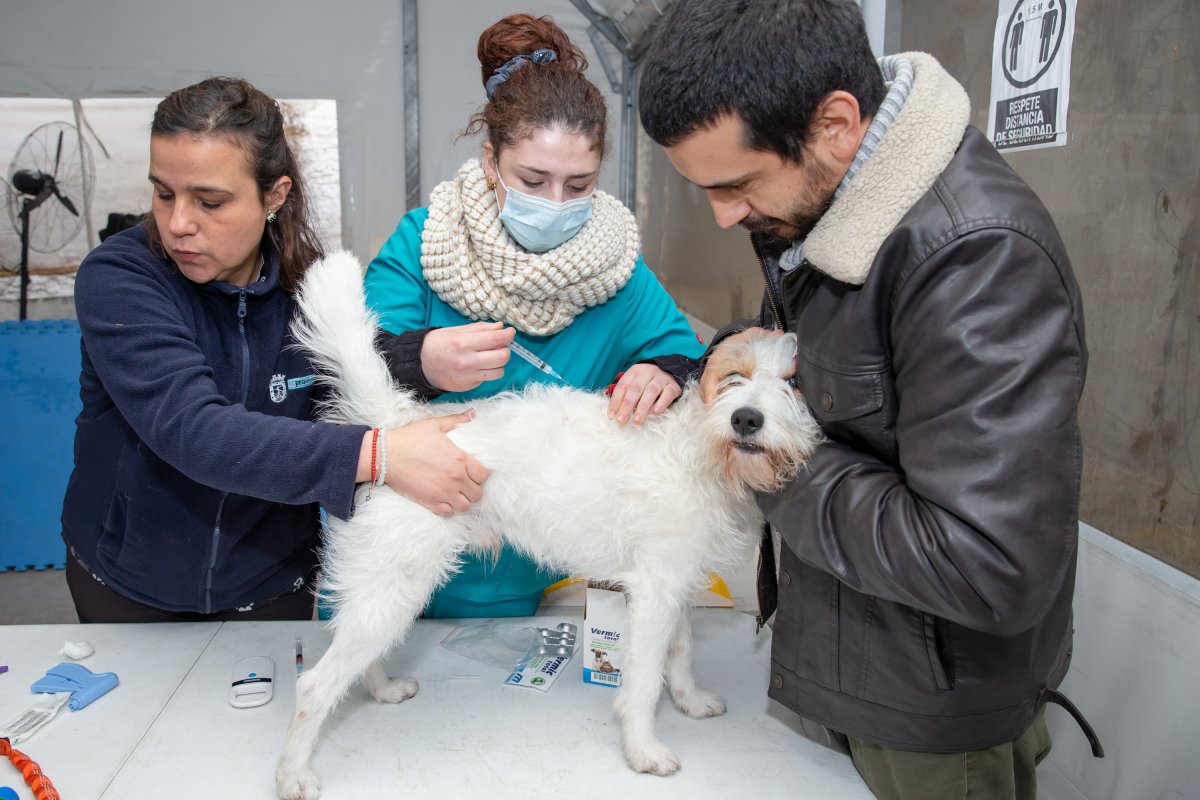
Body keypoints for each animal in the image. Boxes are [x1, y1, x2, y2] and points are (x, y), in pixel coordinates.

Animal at [274, 251, 820, 800]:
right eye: (735, 377)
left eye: (795, 384)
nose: (745, 419)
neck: (700, 448)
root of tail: (402, 425)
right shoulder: (654, 592)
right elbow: (644, 680)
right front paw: (642, 750)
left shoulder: (676, 583)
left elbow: (680, 652)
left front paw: (690, 701)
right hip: (394, 586)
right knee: (313, 685)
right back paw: (293, 775)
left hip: (386, 594)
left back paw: (383, 690)